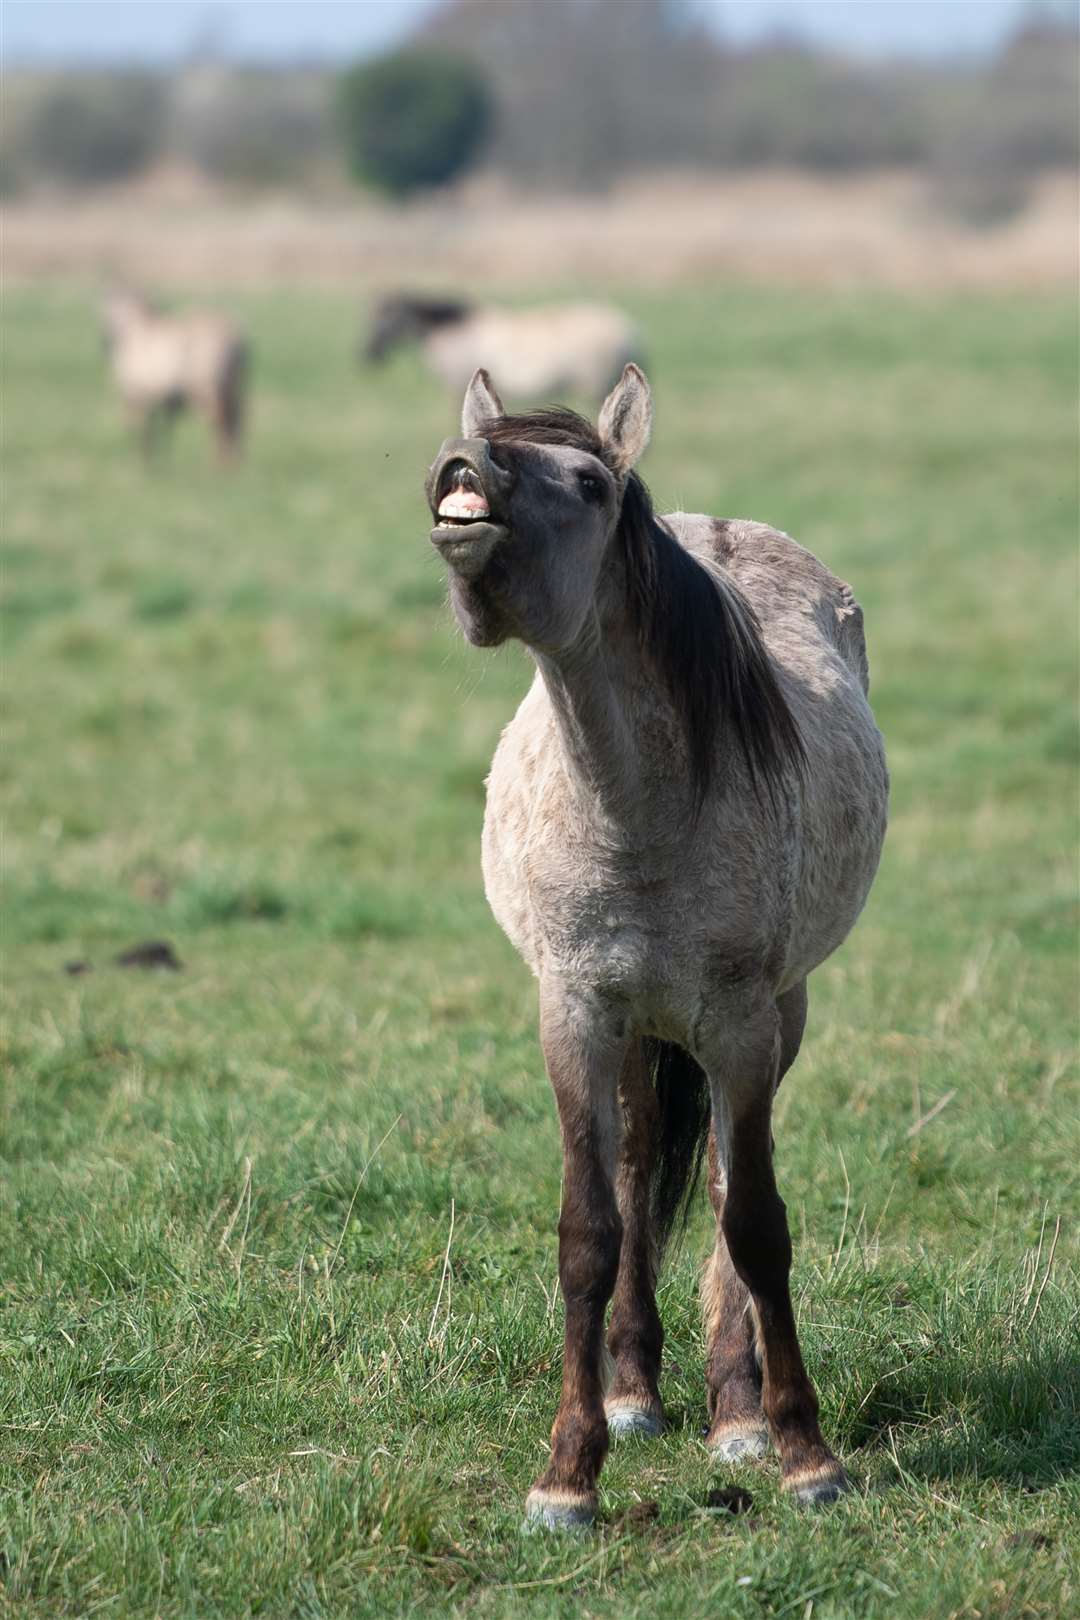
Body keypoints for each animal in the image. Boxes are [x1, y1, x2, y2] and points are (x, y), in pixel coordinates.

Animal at [102, 291, 249, 463]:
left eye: (109, 309)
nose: (103, 341)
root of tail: (236, 337)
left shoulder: (139, 396)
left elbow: (144, 432)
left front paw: (145, 460)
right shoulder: (161, 401)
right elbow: (164, 430)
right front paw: (163, 459)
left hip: (207, 390)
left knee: (219, 421)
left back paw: (217, 462)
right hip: (232, 388)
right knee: (237, 419)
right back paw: (234, 460)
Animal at [420, 367, 887, 1529]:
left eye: (587, 482)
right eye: (477, 442)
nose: (463, 470)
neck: (638, 811)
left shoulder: (742, 1026)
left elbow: (755, 1222)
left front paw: (804, 1453)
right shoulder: (577, 1014)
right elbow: (590, 1231)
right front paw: (568, 1472)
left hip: (775, 1016)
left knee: (718, 1192)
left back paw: (737, 1411)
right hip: (640, 1031)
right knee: (638, 1176)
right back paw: (637, 1393)